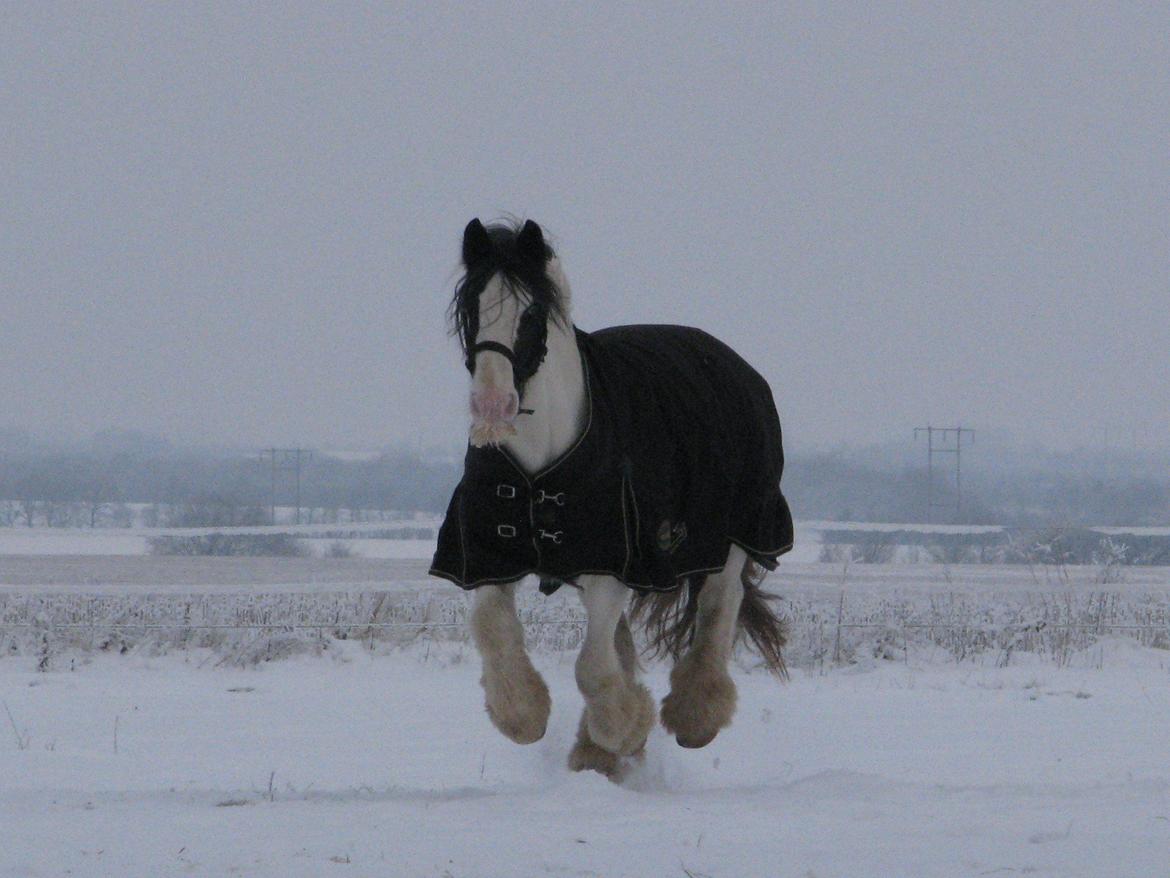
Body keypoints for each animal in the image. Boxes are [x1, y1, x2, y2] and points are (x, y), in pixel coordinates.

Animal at [430, 218, 795, 777]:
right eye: (470, 308)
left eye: (531, 312)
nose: (493, 406)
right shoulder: (488, 556)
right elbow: (494, 629)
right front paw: (526, 717)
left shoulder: (614, 563)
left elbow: (592, 667)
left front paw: (624, 728)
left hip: (734, 535)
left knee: (719, 607)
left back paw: (693, 718)